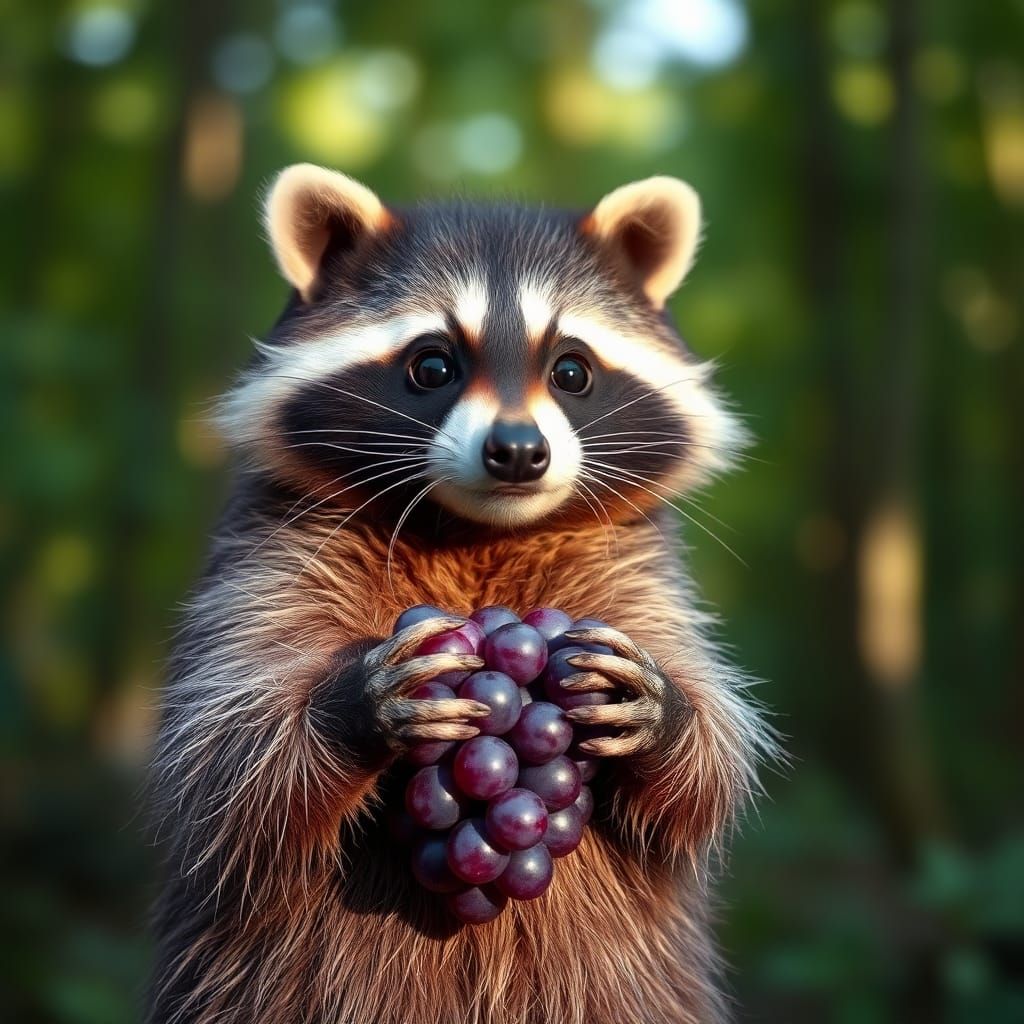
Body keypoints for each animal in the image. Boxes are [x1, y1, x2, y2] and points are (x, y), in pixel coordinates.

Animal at [147, 163, 772, 1024]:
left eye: (571, 370)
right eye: (432, 366)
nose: (517, 451)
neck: (478, 533)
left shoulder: (640, 571)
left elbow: (708, 764)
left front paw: (666, 711)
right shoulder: (268, 560)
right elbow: (225, 758)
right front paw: (352, 706)